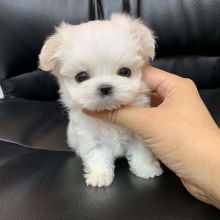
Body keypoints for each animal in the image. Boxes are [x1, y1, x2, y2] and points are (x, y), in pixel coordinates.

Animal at [39, 12, 163, 186]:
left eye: (125, 72)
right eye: (81, 77)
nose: (105, 87)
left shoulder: (139, 134)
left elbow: (141, 151)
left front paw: (147, 169)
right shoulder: (90, 136)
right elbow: (97, 155)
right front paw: (99, 177)